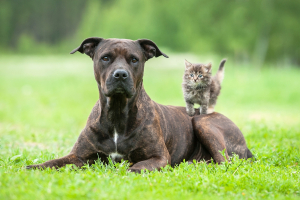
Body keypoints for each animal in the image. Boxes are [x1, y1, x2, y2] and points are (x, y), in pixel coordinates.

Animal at [26, 37, 253, 172]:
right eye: (105, 58)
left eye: (134, 59)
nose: (120, 74)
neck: (117, 113)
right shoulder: (78, 156)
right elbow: (53, 162)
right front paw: (32, 167)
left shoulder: (158, 157)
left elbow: (134, 167)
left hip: (202, 122)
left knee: (224, 162)